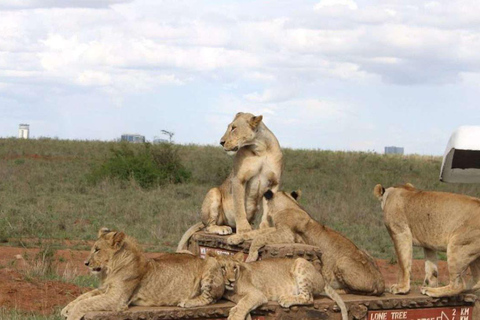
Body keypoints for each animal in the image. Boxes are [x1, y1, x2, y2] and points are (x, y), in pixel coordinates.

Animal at [61, 228, 224, 320]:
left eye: (97, 250)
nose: (85, 263)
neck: (110, 270)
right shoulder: (105, 289)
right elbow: (83, 296)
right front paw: (65, 309)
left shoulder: (116, 298)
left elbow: (85, 303)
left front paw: (72, 315)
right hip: (184, 251)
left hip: (211, 262)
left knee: (209, 298)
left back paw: (187, 302)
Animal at [208, 251, 346, 320]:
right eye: (222, 268)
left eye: (234, 268)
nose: (231, 281)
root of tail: (321, 277)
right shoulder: (239, 297)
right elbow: (241, 304)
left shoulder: (258, 294)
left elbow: (243, 305)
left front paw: (235, 317)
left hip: (300, 262)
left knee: (308, 298)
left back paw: (285, 299)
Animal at [229, 189, 386, 296]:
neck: (290, 205)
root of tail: (382, 282)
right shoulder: (276, 229)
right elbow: (255, 233)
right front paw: (234, 238)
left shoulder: (287, 235)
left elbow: (259, 237)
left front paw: (251, 257)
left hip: (343, 262)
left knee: (355, 291)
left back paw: (338, 290)